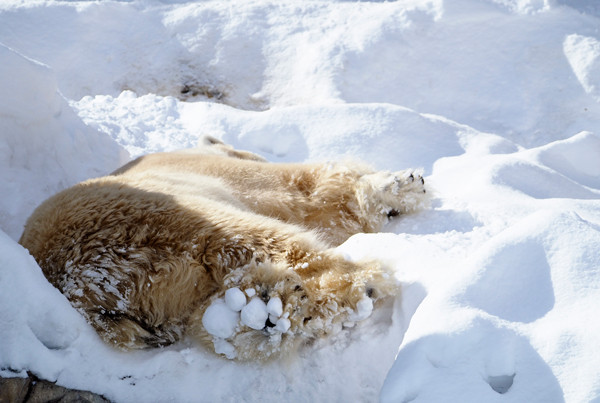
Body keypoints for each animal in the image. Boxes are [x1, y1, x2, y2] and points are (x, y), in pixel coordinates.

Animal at [18, 137, 426, 362]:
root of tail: (85, 287)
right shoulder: (234, 177)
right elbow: (311, 193)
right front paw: (402, 187)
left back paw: (259, 313)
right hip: (153, 219)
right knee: (251, 239)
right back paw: (360, 286)